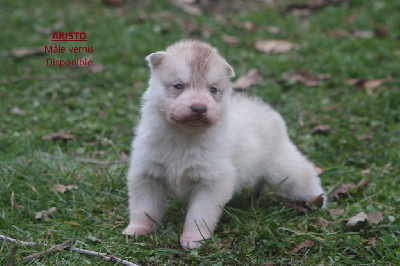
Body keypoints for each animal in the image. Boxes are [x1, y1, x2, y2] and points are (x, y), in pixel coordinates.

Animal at [122, 40, 324, 249]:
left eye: (213, 89)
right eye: (178, 86)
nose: (199, 108)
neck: (185, 136)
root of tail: (268, 111)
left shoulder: (213, 182)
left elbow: (199, 215)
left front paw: (193, 238)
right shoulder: (146, 175)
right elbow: (144, 207)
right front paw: (138, 229)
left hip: (282, 169)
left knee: (304, 173)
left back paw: (319, 200)